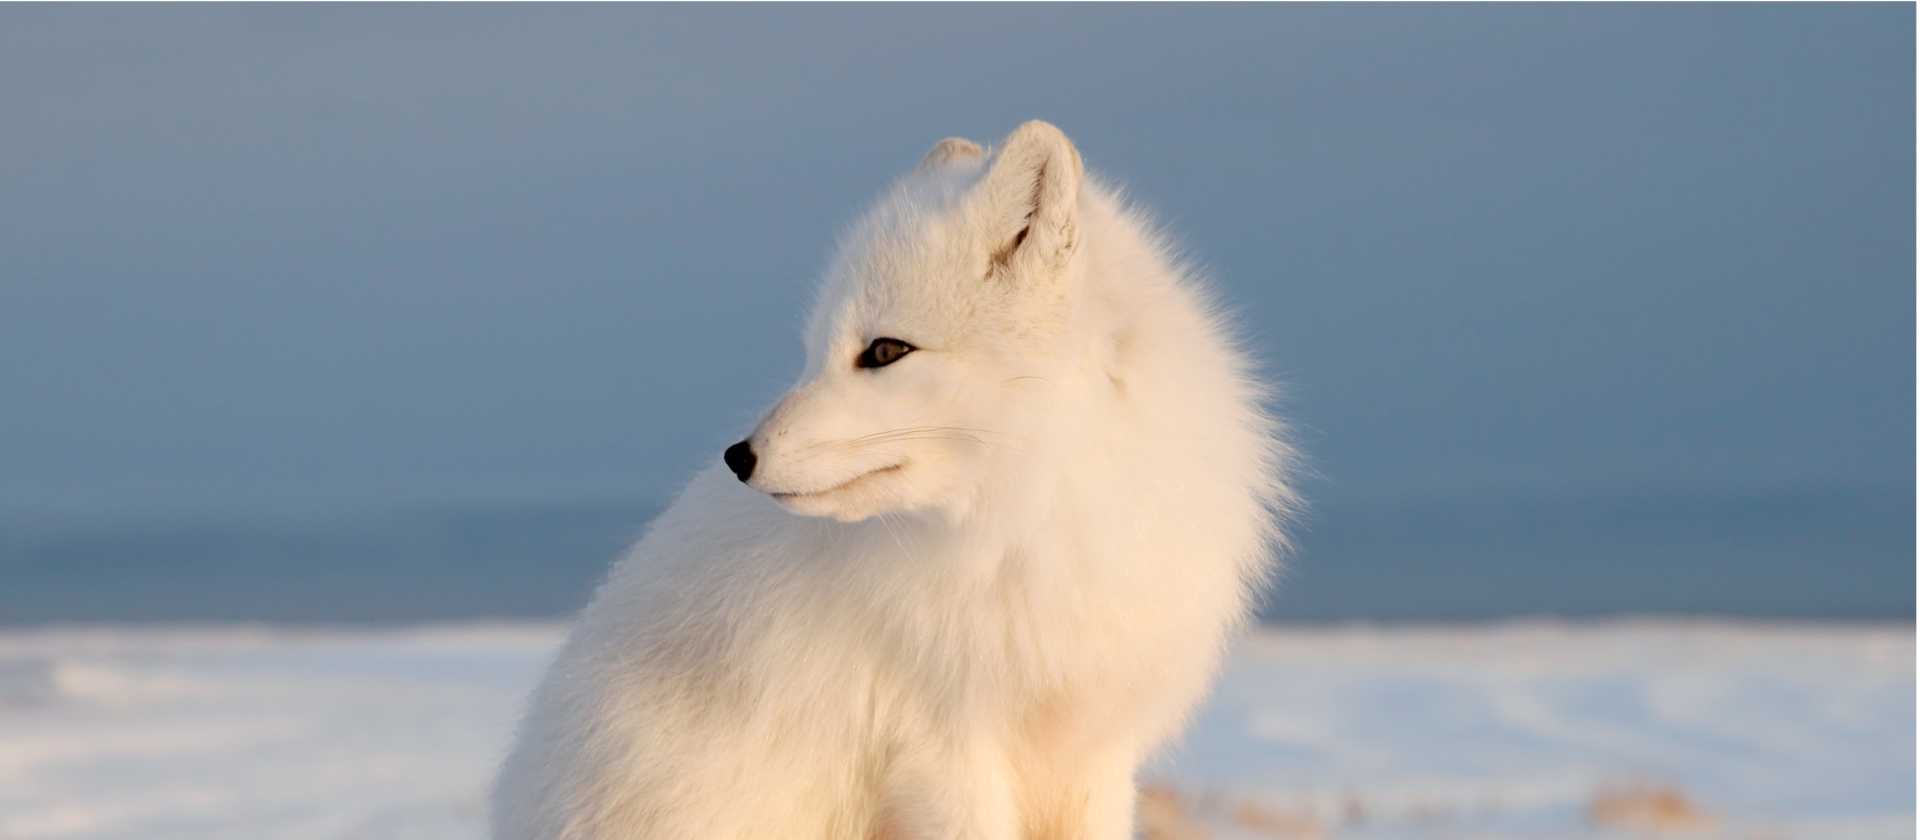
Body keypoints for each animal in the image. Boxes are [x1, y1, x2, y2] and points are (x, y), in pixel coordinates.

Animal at [491, 121, 1296, 840]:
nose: (739, 457)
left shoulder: (1094, 753)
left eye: (884, 351)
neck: (1030, 528)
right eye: (813, 353)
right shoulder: (943, 752)